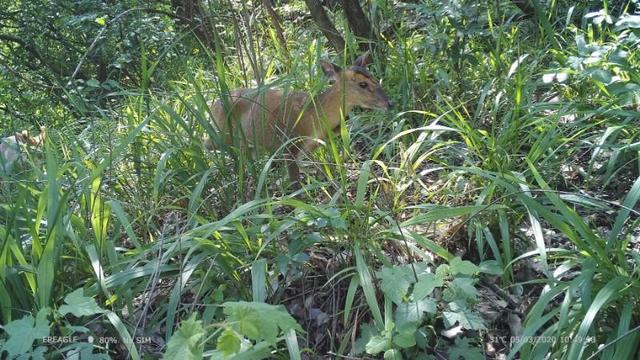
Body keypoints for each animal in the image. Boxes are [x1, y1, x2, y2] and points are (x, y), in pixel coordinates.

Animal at [208, 51, 392, 183]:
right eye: (363, 84)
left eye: (375, 78)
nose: (390, 103)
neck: (313, 117)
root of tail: (213, 104)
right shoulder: (289, 144)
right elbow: (295, 184)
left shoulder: (311, 145)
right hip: (224, 134)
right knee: (209, 144)